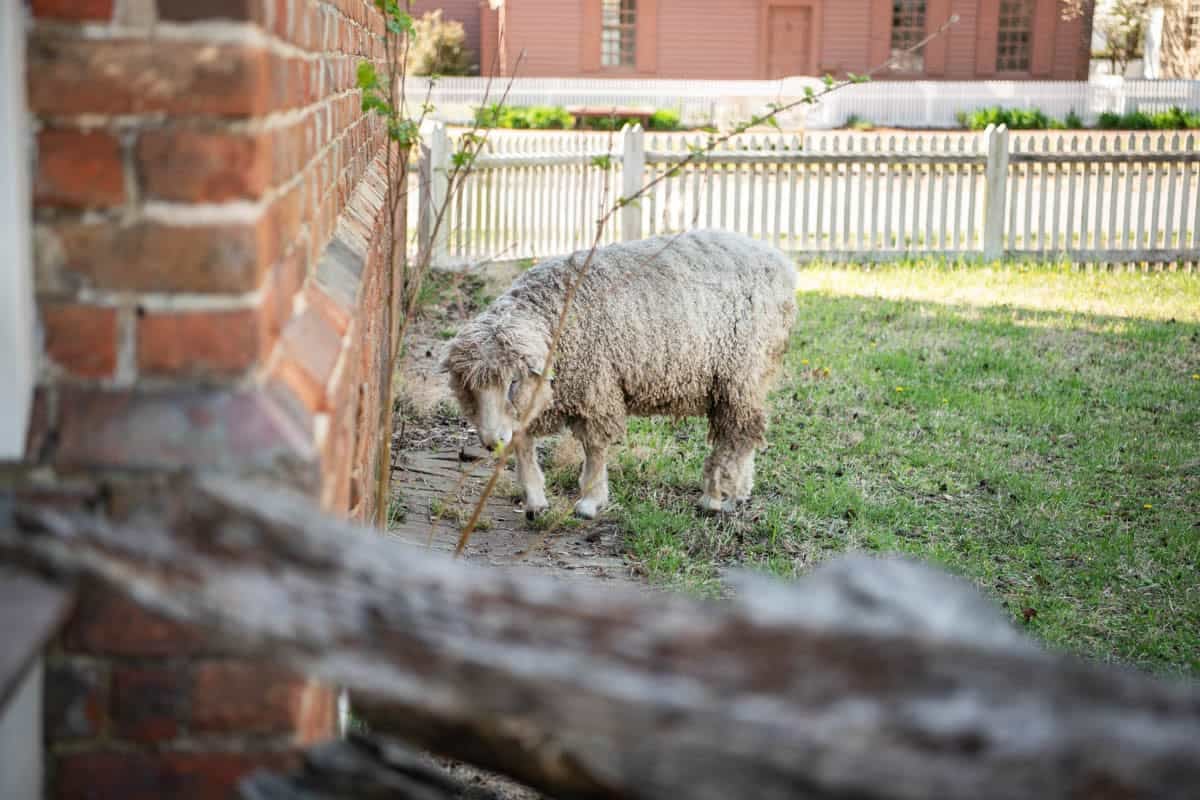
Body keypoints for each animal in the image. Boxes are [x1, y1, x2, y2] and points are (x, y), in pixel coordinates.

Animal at [442, 229, 797, 520]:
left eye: (512, 383)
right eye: (469, 390)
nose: (491, 442)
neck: (556, 315)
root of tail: (780, 260)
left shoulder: (595, 386)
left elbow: (595, 448)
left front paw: (590, 501)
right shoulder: (542, 396)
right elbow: (523, 444)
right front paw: (535, 500)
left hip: (740, 369)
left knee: (740, 430)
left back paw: (717, 497)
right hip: (745, 376)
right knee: (742, 431)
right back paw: (738, 491)